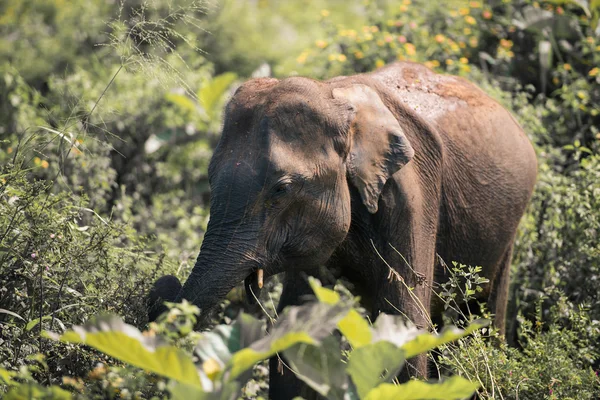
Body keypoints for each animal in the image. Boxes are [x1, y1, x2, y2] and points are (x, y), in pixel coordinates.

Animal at [148, 61, 536, 398]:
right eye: (210, 178)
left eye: (281, 189)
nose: (164, 282)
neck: (337, 98)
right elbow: (300, 329)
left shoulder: (413, 198)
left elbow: (406, 326)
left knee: (485, 312)